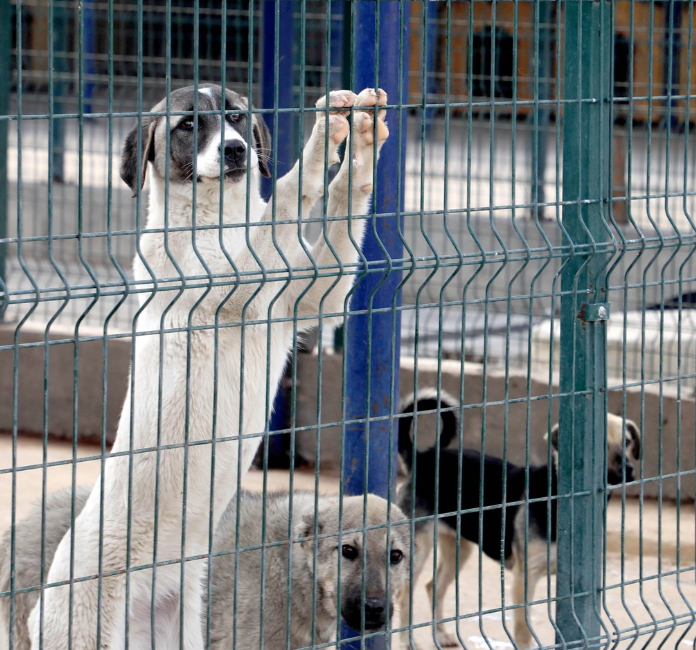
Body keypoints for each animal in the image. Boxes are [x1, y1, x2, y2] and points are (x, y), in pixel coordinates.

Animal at [27, 86, 392, 648]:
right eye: (188, 124)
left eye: (236, 117)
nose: (237, 151)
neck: (215, 216)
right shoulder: (242, 278)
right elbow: (289, 194)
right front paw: (319, 139)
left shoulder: (315, 296)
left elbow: (341, 208)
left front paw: (362, 139)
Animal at [396, 390, 640, 648]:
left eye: (627, 442)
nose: (628, 469)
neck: (560, 498)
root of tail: (422, 458)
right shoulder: (526, 576)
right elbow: (523, 629)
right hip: (418, 551)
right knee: (405, 595)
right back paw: (407, 641)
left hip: (458, 549)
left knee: (433, 586)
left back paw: (441, 634)